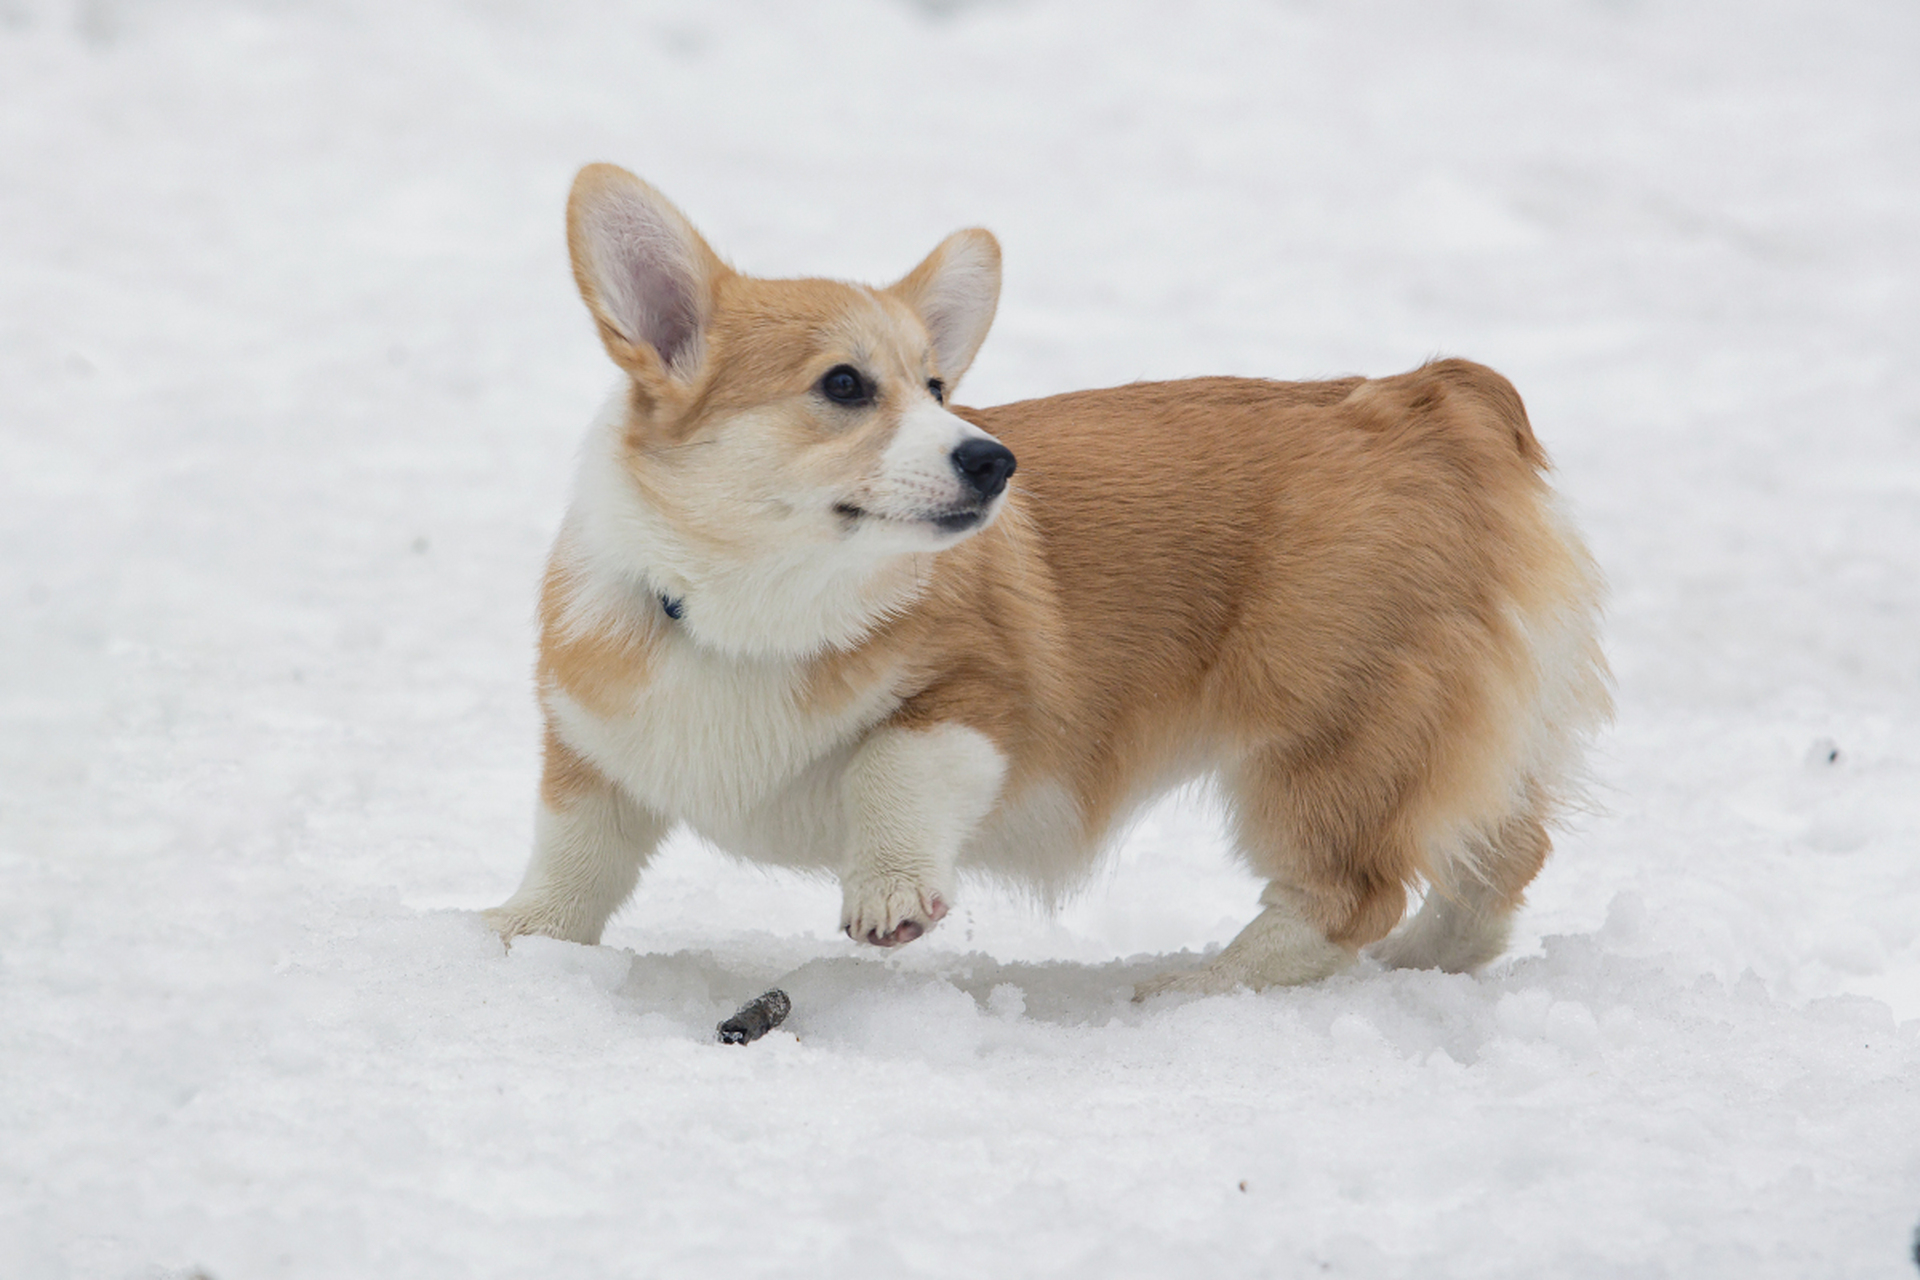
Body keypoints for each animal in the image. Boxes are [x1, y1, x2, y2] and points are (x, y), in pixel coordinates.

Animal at [480, 163, 1605, 997]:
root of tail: (1431, 398)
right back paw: (1424, 967)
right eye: (845, 385)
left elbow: (889, 763)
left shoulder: (978, 701)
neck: (757, 609)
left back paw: (1201, 988)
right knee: (1501, 856)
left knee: (1346, 893)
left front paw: (889, 894)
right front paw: (514, 939)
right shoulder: (594, 749)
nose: (994, 461)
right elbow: (576, 854)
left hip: (1329, 728)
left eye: (939, 386)